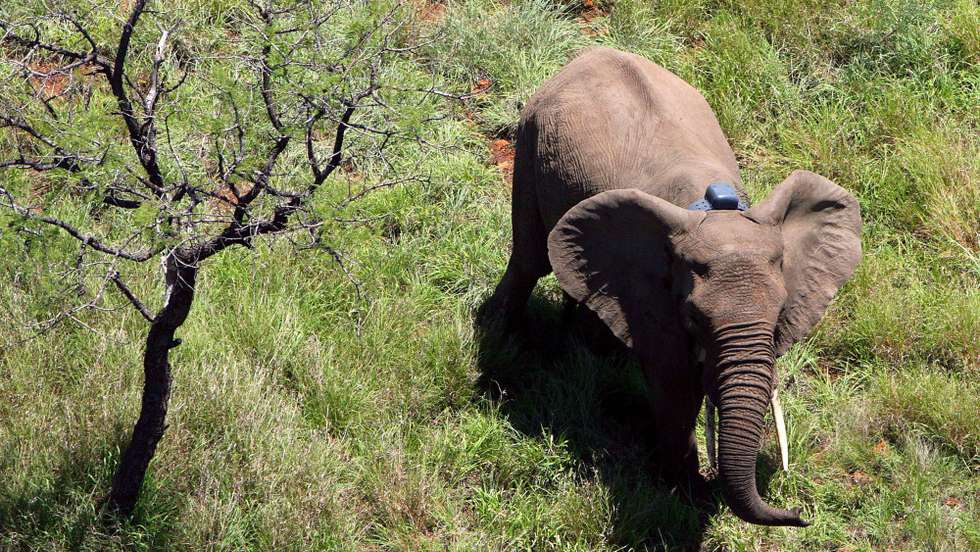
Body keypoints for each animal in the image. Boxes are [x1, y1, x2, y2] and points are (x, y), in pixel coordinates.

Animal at [484, 47, 861, 527]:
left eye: (779, 316)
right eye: (694, 317)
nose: (800, 513)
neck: (712, 210)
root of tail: (590, 53)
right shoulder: (656, 297)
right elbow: (675, 383)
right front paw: (684, 492)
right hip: (531, 141)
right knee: (531, 257)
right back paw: (503, 335)